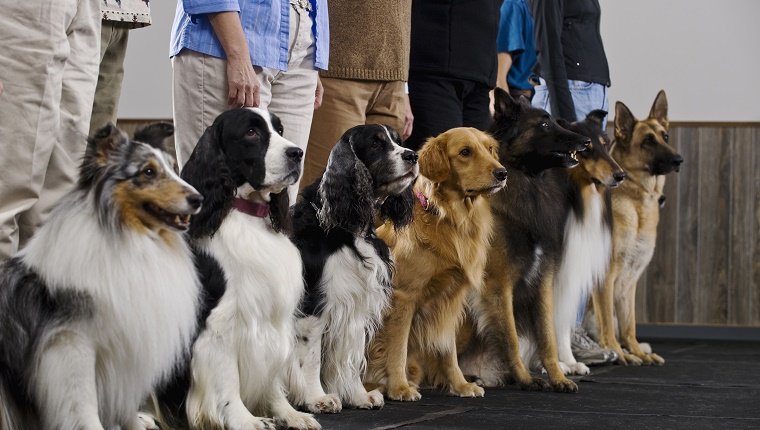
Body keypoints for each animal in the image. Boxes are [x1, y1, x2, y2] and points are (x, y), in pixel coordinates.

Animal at [0, 122, 202, 430]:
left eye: (172, 167)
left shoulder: (130, 347)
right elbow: (82, 404)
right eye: (148, 172)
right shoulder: (71, 344)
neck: (130, 238)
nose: (198, 199)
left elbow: (126, 403)